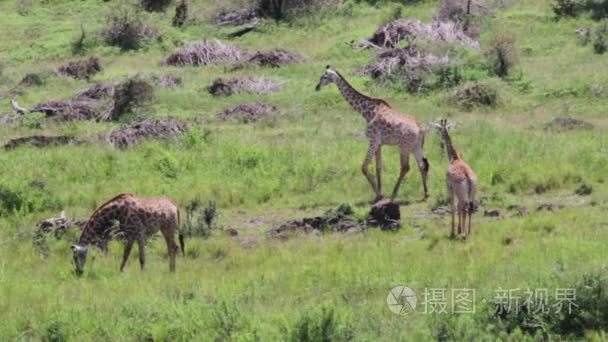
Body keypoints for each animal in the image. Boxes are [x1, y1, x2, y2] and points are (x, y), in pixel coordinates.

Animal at [316, 65, 430, 202]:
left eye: (324, 76)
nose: (317, 87)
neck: (367, 112)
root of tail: (421, 128)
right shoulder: (379, 143)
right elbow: (378, 167)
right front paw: (379, 193)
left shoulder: (373, 140)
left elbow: (364, 167)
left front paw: (379, 195)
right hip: (416, 146)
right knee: (422, 164)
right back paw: (426, 194)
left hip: (404, 146)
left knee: (405, 167)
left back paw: (393, 195)